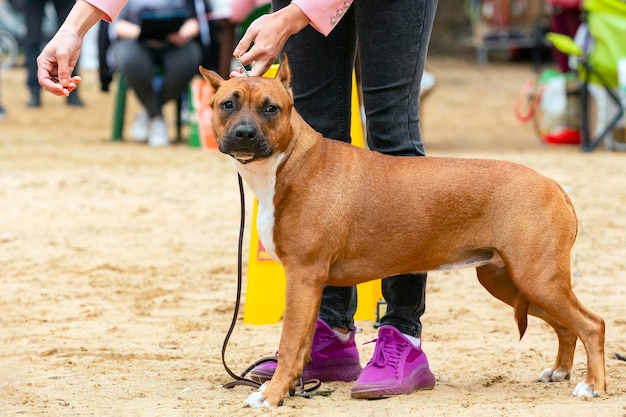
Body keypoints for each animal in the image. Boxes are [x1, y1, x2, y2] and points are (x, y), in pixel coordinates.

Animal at [197, 54, 604, 406]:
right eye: (227, 104)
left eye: (271, 108)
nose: (245, 134)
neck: (289, 160)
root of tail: (551, 184)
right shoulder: (309, 282)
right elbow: (299, 344)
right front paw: (289, 387)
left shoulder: (303, 275)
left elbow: (289, 342)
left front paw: (270, 396)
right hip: (509, 280)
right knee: (567, 326)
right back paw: (559, 371)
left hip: (537, 278)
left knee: (592, 324)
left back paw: (593, 385)